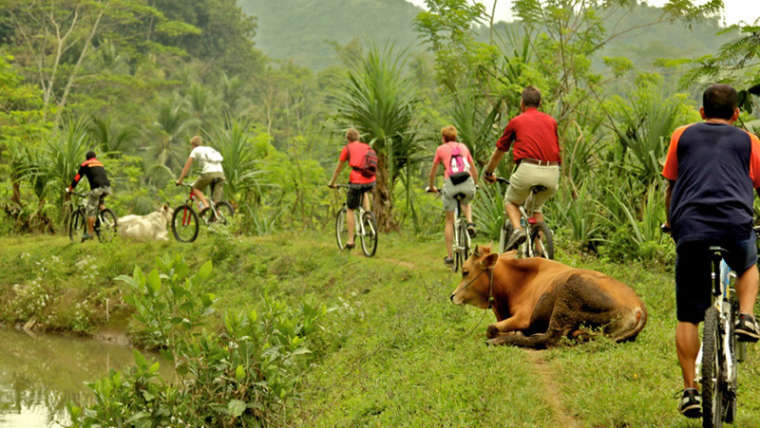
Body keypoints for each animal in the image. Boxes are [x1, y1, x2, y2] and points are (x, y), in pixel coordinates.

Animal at [448, 246, 652, 350]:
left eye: (465, 271)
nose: (452, 296)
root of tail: (639, 307)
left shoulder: (523, 317)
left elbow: (491, 328)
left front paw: (506, 335)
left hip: (569, 295)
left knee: (549, 339)